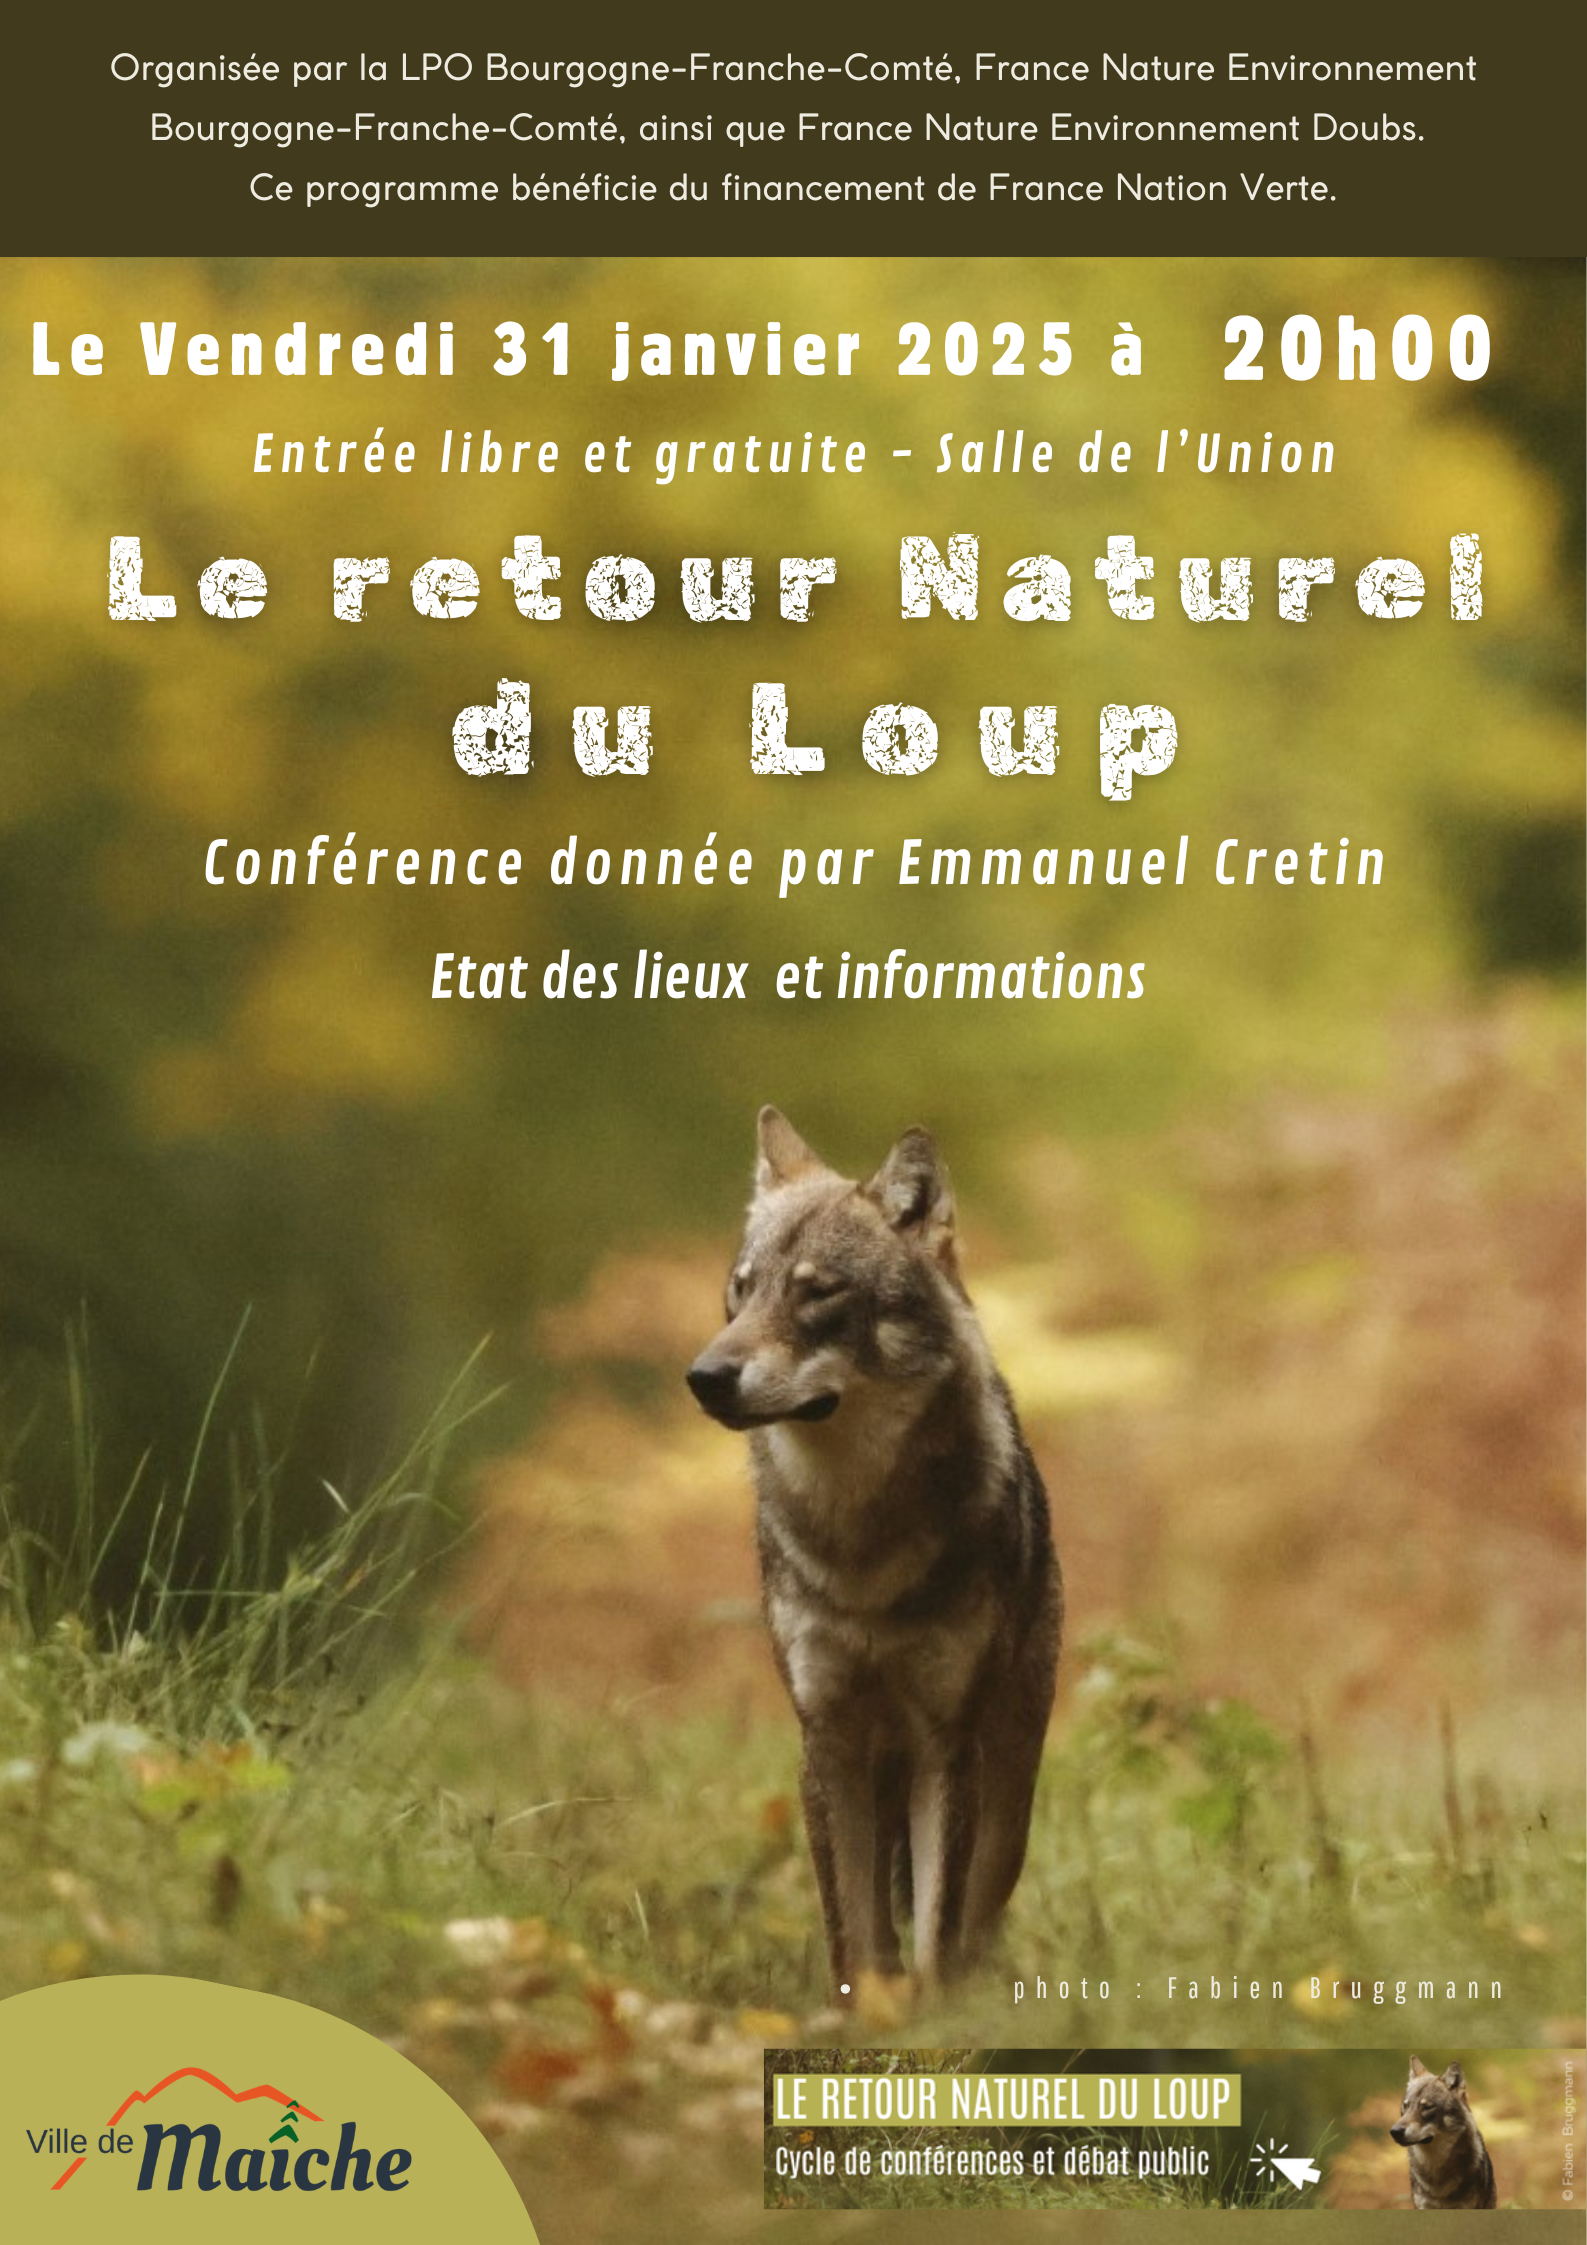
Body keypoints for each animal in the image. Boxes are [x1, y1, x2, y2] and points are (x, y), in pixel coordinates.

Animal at [686, 1107, 1061, 1999]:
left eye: (816, 1292)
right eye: (741, 1289)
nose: (705, 1375)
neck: (858, 1538)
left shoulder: (944, 1743)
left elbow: (935, 1934)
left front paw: (931, 2021)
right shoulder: (828, 1741)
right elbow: (853, 1936)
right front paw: (863, 2018)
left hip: (1006, 1792)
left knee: (976, 1921)